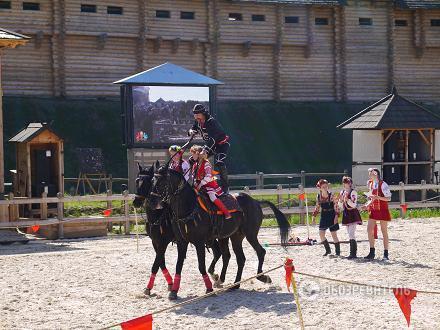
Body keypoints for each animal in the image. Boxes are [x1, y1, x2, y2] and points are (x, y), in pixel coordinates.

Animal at [132, 162, 227, 300]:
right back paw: (215, 276)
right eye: (137, 180)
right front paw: (170, 284)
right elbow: (161, 263)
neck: (158, 214)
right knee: (218, 252)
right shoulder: (155, 242)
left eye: (148, 181)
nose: (136, 201)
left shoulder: (163, 242)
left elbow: (156, 264)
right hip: (211, 237)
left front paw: (149, 288)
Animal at [148, 166, 290, 296]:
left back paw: (262, 277)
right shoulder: (181, 242)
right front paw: (174, 291)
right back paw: (235, 284)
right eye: (152, 181)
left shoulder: (199, 242)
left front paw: (209, 288)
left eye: (161, 182)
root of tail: (255, 201)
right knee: (240, 258)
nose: (151, 201)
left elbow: (201, 265)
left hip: (250, 234)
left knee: (260, 252)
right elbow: (178, 265)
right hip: (235, 237)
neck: (189, 208)